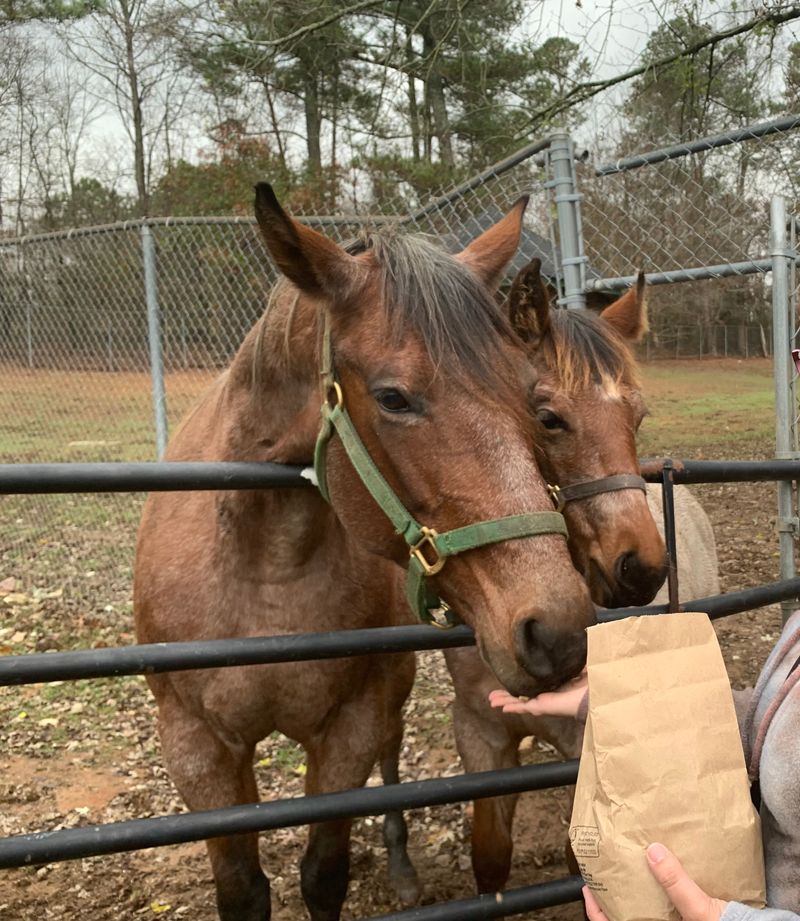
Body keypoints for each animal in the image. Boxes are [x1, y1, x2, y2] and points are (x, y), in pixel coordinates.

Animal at [133, 188, 597, 921]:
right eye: (393, 397)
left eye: (529, 397)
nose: (556, 630)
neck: (267, 570)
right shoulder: (197, 748)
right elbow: (242, 889)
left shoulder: (348, 728)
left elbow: (324, 872)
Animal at [444, 259, 679, 893]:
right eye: (546, 418)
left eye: (638, 418)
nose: (642, 567)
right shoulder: (480, 734)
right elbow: (490, 855)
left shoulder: (582, 744)